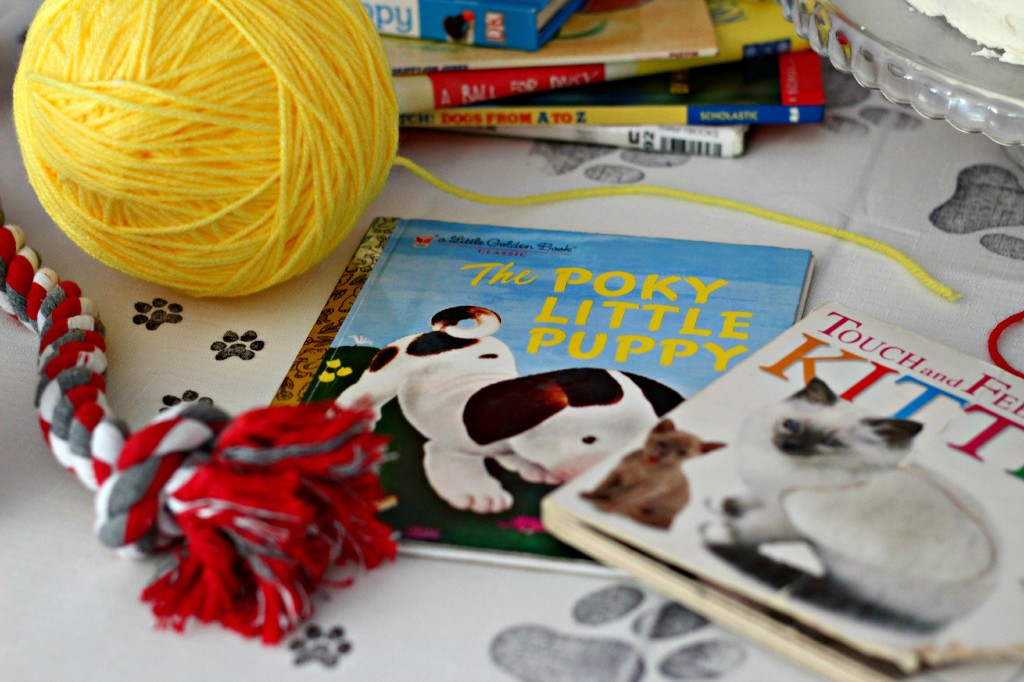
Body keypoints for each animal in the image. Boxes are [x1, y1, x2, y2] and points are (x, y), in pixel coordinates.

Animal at [585, 417, 729, 528]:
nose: (664, 454)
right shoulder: (618, 471)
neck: (647, 465)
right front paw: (592, 495)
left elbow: (626, 498)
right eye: (663, 444)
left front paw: (608, 505)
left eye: (682, 453)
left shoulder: (649, 488)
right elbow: (603, 485)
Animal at [700, 376, 995, 626]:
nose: (788, 446)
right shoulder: (770, 493)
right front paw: (727, 505)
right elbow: (747, 501)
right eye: (792, 425)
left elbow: (750, 527)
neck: (787, 469)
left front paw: (719, 531)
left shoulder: (785, 514)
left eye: (830, 443)